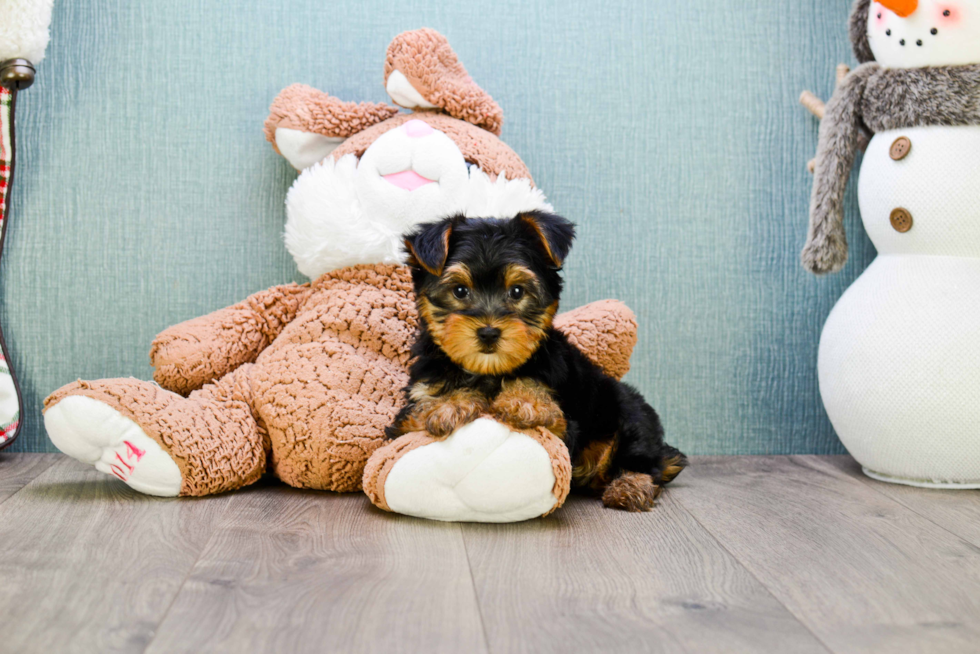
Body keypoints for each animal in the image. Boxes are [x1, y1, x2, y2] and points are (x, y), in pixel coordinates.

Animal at [386, 214, 684, 512]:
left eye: (517, 291)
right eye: (459, 291)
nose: (489, 332)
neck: (488, 371)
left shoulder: (565, 427)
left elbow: (542, 404)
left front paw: (524, 401)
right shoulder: (409, 412)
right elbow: (419, 415)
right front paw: (450, 403)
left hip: (626, 412)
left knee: (641, 459)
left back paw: (630, 487)